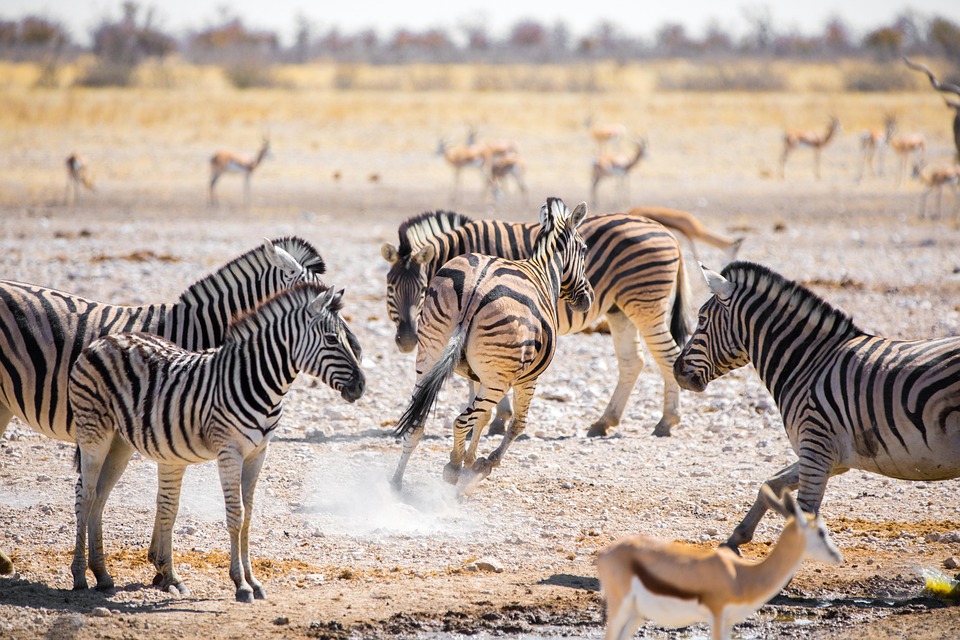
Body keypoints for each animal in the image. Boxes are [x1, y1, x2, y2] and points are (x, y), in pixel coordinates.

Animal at [70, 282, 365, 602]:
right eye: (332, 339)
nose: (361, 386)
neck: (258, 381)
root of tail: (103, 340)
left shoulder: (258, 453)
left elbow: (249, 515)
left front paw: (254, 581)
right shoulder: (229, 452)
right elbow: (236, 515)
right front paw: (241, 584)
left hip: (120, 443)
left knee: (100, 497)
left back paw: (102, 575)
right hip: (94, 434)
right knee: (86, 496)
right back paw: (80, 576)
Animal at [381, 208, 688, 439]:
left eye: (422, 289)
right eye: (390, 288)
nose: (407, 341)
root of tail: (668, 233)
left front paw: (491, 420)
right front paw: (493, 419)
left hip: (645, 305)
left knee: (668, 355)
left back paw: (667, 421)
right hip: (620, 310)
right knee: (632, 362)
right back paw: (604, 422)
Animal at [391, 198, 594, 494]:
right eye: (584, 249)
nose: (588, 299)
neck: (543, 271)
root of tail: (476, 288)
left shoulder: (478, 375)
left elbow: (484, 418)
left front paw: (470, 458)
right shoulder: (527, 378)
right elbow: (517, 424)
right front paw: (481, 464)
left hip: (429, 357)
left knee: (418, 421)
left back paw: (396, 483)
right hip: (499, 378)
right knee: (461, 420)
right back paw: (453, 469)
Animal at [673, 261, 960, 553]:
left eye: (701, 320)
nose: (676, 370)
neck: (808, 363)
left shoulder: (816, 444)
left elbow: (803, 513)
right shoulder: (829, 455)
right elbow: (771, 484)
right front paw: (736, 539)